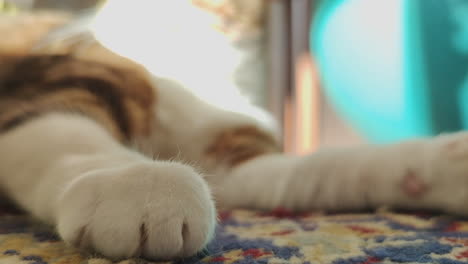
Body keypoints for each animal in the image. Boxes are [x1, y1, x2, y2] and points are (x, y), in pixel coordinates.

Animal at [0, 0, 468, 260]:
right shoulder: (55, 83)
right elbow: (71, 137)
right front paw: (141, 183)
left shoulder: (231, 164)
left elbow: (325, 168)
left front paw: (445, 164)